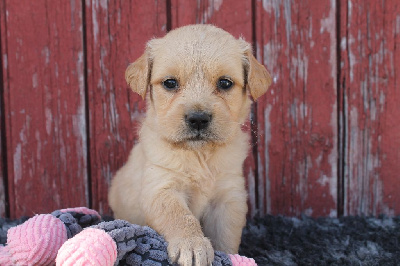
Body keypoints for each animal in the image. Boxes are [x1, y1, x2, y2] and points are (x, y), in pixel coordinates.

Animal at [109, 23, 272, 264]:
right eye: (170, 83)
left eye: (225, 83)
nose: (198, 119)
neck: (199, 154)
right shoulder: (161, 188)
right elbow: (181, 217)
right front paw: (192, 245)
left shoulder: (229, 197)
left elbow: (226, 235)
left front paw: (229, 256)